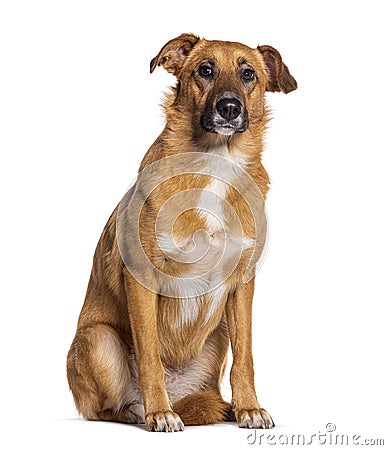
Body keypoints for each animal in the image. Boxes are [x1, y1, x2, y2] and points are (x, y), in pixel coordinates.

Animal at [66, 33, 298, 430]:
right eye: (205, 70)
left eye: (248, 74)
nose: (229, 108)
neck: (216, 162)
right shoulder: (141, 278)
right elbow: (149, 356)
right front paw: (158, 412)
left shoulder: (243, 283)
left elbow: (246, 358)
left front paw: (249, 407)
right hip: (99, 340)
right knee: (107, 409)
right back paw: (143, 409)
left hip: (217, 337)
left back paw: (221, 408)